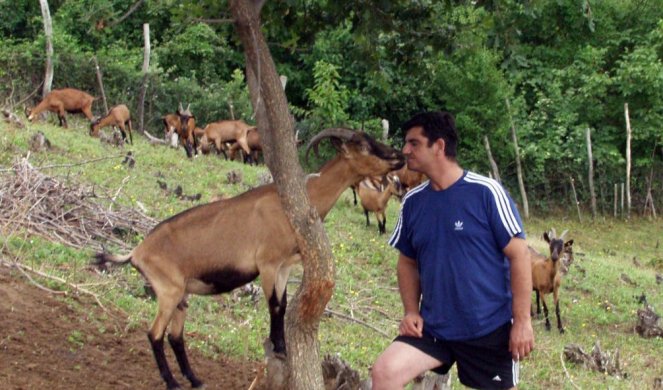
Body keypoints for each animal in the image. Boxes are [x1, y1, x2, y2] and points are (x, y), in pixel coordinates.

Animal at [93, 129, 404, 390]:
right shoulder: (267, 264)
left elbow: (283, 304)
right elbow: (274, 305)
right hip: (168, 290)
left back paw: (195, 379)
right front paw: (280, 348)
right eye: (363, 145)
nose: (398, 157)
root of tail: (136, 252)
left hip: (182, 293)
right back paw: (173, 383)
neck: (290, 206)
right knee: (155, 334)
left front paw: (281, 346)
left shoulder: (284, 266)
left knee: (175, 336)